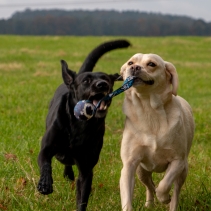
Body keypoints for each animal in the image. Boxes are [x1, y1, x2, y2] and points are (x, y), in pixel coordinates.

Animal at [37, 40, 131, 211]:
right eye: (86, 81)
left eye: (107, 79)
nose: (102, 84)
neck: (79, 125)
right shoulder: (46, 149)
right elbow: (46, 163)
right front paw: (45, 184)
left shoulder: (87, 167)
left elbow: (82, 197)